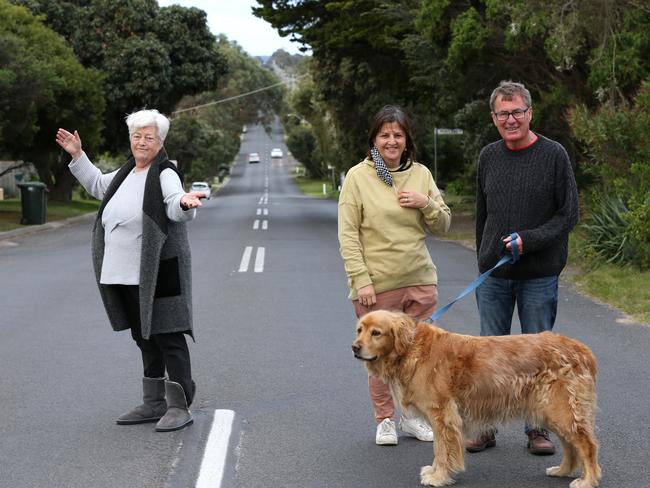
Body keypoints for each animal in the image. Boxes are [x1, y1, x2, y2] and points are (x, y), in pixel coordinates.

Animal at [352, 310, 600, 486]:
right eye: (359, 330)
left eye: (376, 332)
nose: (354, 347)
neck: (411, 348)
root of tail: (581, 349)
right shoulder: (441, 417)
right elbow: (439, 450)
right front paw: (435, 471)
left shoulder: (442, 415)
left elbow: (442, 450)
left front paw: (439, 477)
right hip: (552, 412)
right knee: (571, 446)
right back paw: (562, 471)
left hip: (561, 410)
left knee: (587, 445)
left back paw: (587, 480)